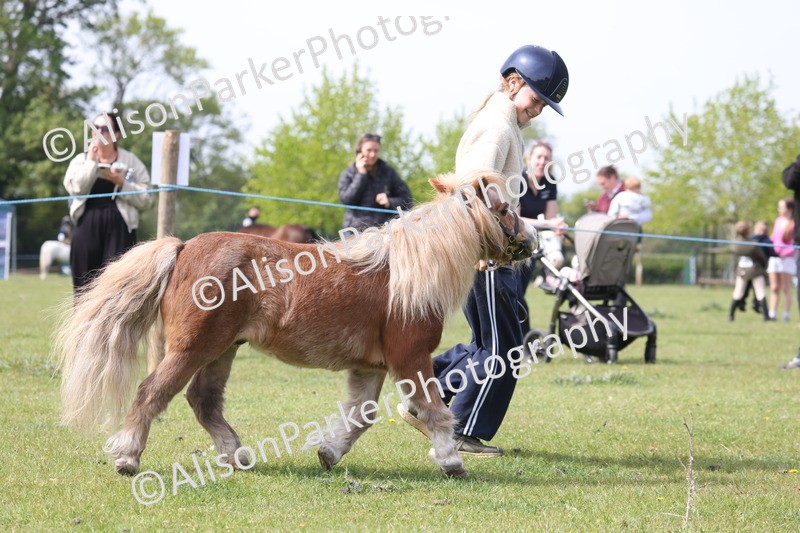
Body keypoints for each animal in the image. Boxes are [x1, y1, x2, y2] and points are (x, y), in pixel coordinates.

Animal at [54, 170, 536, 479]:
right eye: (504, 207)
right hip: (192, 348)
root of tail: (184, 246)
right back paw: (127, 458)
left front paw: (329, 453)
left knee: (203, 401)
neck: (408, 271)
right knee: (152, 393)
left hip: (222, 350)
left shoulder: (370, 367)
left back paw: (237, 455)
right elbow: (433, 410)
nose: (532, 241)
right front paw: (452, 460)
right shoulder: (410, 358)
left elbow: (360, 416)